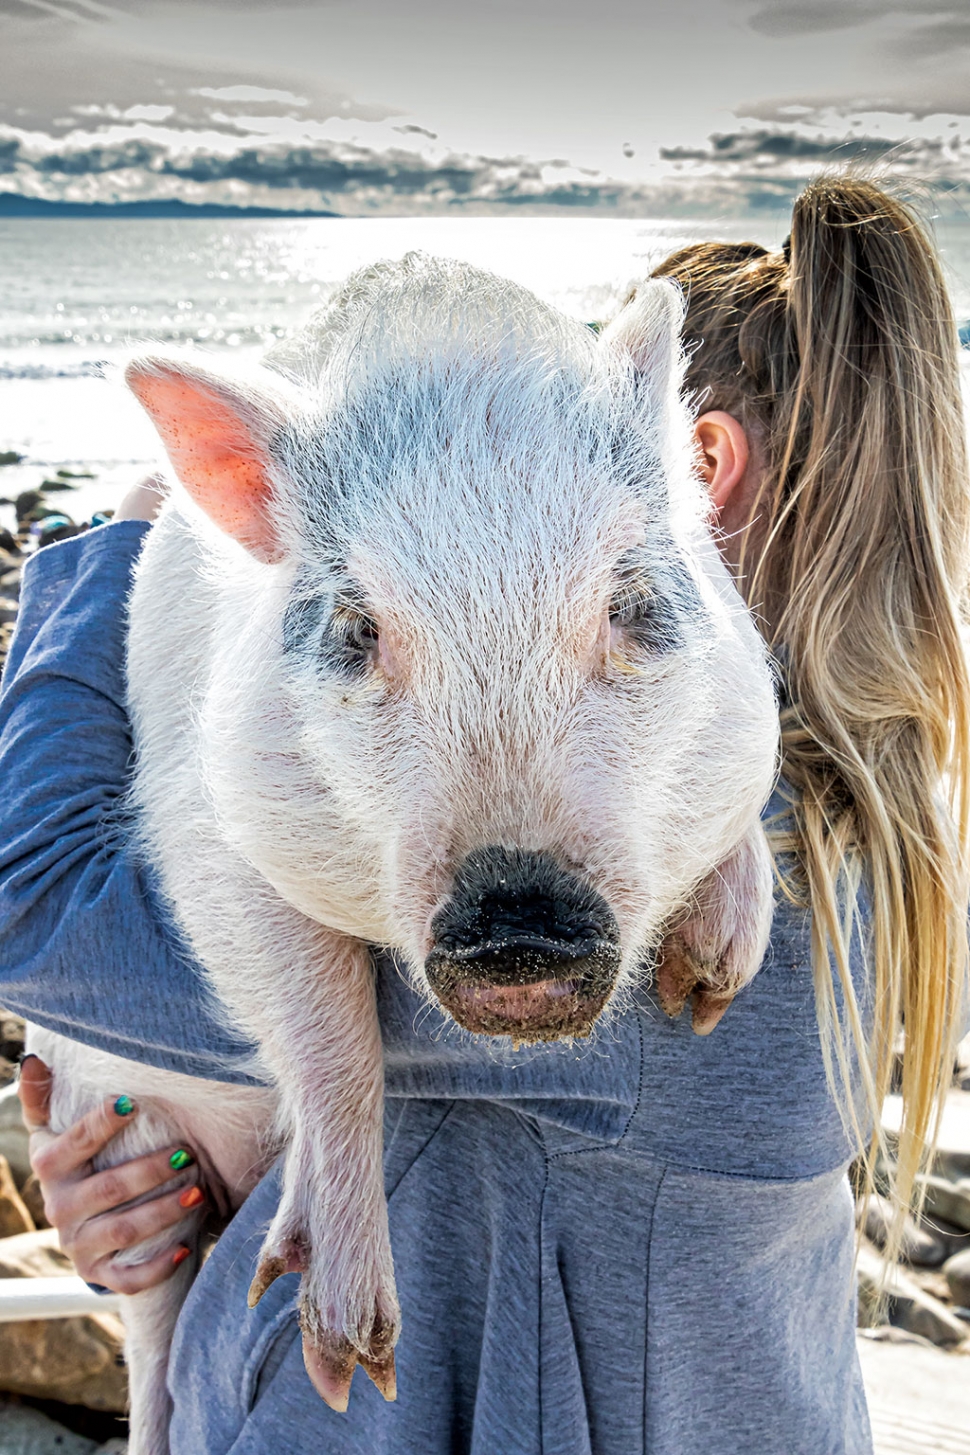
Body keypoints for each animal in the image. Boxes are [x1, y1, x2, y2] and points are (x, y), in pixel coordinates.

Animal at [24, 256, 779, 1449]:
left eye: (633, 606)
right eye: (358, 630)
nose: (520, 920)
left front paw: (710, 982)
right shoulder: (199, 820)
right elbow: (325, 1025)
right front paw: (349, 1366)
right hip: (119, 1126)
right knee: (155, 1317)